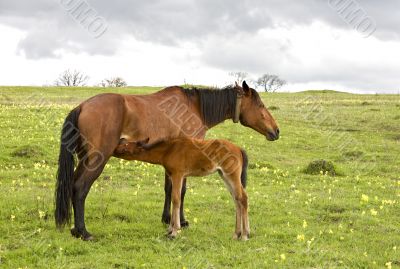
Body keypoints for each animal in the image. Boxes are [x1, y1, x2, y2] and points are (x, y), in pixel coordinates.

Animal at [113, 137, 250, 240]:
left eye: (126, 145)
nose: (114, 148)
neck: (168, 150)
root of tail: (239, 149)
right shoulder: (173, 176)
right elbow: (173, 198)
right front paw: (170, 229)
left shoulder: (178, 175)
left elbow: (176, 199)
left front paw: (174, 231)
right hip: (224, 175)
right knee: (236, 199)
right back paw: (236, 234)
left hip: (232, 174)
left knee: (243, 198)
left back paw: (244, 235)